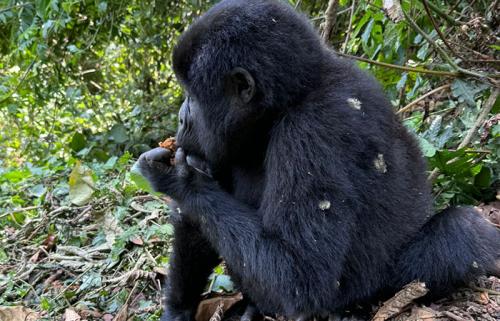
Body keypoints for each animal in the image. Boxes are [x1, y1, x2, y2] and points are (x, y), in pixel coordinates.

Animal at [137, 0, 500, 318]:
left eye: (192, 96)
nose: (181, 119)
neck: (291, 98)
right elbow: (195, 219)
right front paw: (178, 310)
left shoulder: (314, 129)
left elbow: (301, 277)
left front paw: (178, 180)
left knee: (460, 230)